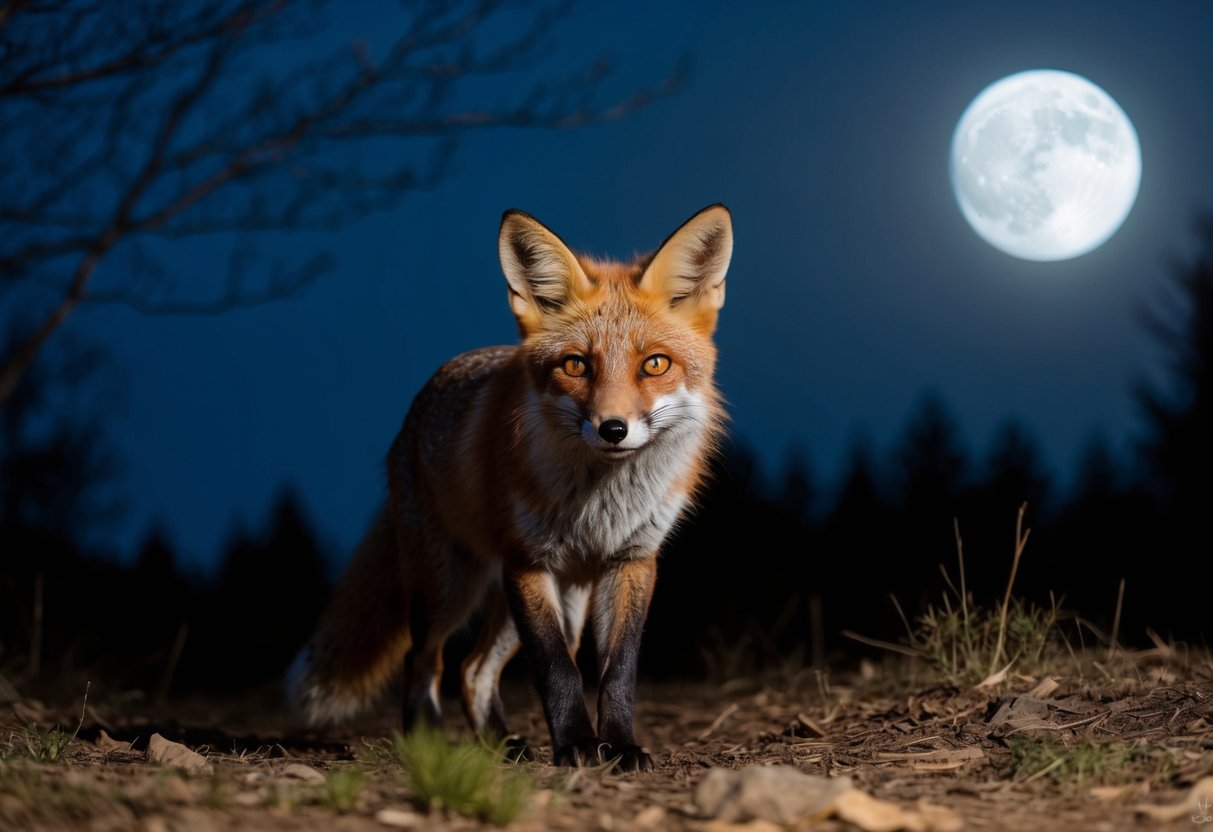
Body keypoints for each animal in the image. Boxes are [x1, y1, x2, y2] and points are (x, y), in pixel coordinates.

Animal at [287, 204, 733, 771]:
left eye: (654, 364)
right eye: (576, 364)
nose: (613, 428)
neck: (601, 504)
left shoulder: (632, 560)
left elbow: (618, 672)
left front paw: (619, 746)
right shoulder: (528, 561)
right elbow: (558, 669)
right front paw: (576, 745)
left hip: (559, 601)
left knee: (473, 670)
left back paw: (503, 746)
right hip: (450, 587)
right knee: (424, 660)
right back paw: (430, 743)